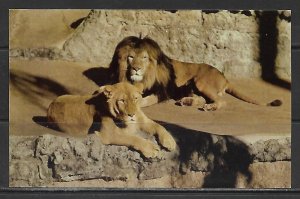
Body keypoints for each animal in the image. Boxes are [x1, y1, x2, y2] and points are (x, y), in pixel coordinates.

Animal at [46, 81, 176, 158]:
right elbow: (133, 138)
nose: (132, 114)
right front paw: (150, 148)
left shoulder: (143, 120)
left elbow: (160, 126)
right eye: (122, 101)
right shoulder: (108, 134)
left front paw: (170, 141)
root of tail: (51, 104)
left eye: (135, 98)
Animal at [109, 35, 282, 110]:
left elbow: (144, 100)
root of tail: (224, 76)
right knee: (204, 99)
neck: (141, 79)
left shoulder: (162, 92)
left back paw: (209, 107)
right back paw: (187, 102)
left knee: (221, 101)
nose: (136, 68)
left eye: (144, 58)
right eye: (131, 57)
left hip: (201, 81)